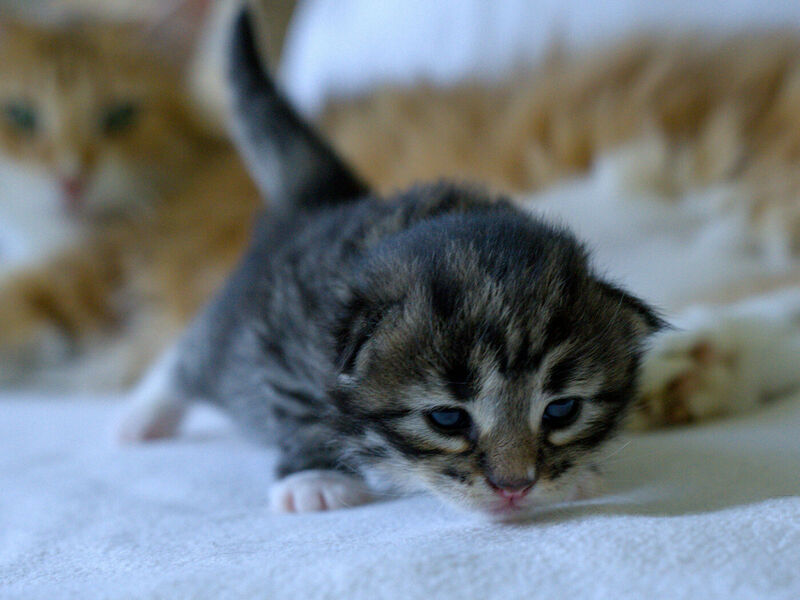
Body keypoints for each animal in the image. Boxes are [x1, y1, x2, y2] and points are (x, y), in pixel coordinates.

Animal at [115, 12, 660, 520]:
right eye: (447, 419)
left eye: (562, 410)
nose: (514, 487)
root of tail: (319, 201)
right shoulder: (281, 334)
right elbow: (297, 409)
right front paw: (314, 476)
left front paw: (581, 472)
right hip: (233, 323)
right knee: (190, 356)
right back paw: (143, 416)